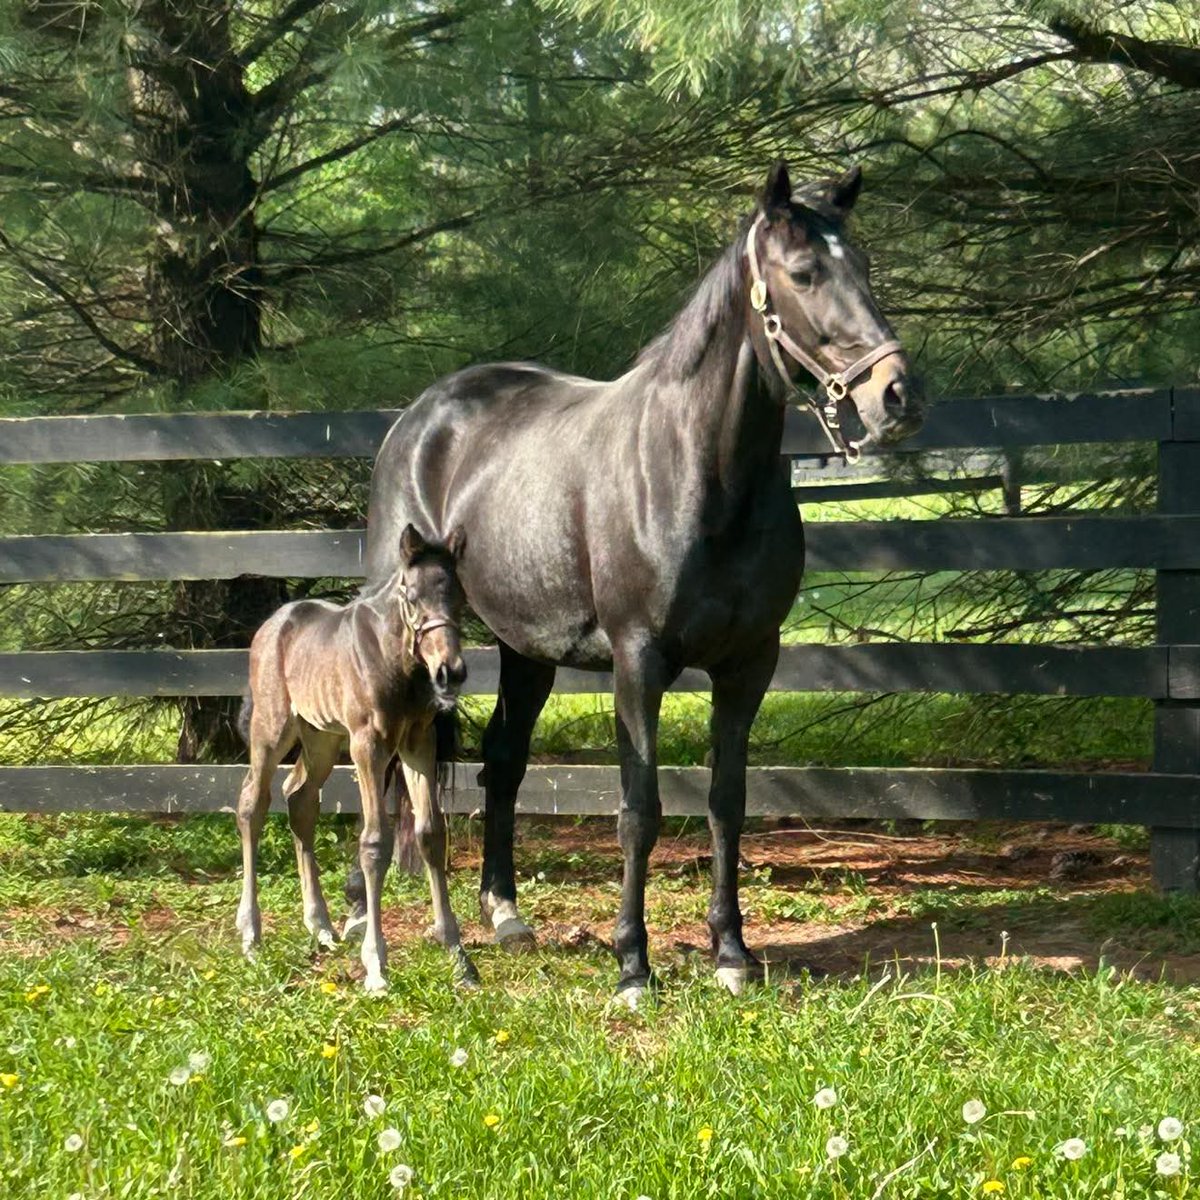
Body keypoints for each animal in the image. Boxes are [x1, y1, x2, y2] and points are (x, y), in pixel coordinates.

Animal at [234, 523, 475, 992]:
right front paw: (376, 965)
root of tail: (272, 624)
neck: (396, 661)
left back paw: (320, 925)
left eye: (458, 596)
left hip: (321, 738)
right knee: (253, 803)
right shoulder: (369, 744)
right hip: (273, 728)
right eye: (412, 596)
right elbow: (375, 842)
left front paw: (459, 956)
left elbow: (432, 834)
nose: (450, 671)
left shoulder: (418, 742)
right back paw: (251, 935)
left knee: (299, 798)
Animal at [356, 159, 924, 1005]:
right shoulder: (639, 660)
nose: (897, 396)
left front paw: (732, 953)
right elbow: (639, 810)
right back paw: (371, 917)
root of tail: (422, 416)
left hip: (527, 651)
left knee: (503, 760)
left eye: (863, 267)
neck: (701, 472)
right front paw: (633, 965)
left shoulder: (750, 663)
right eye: (803, 273)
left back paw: (505, 914)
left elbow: (727, 803)